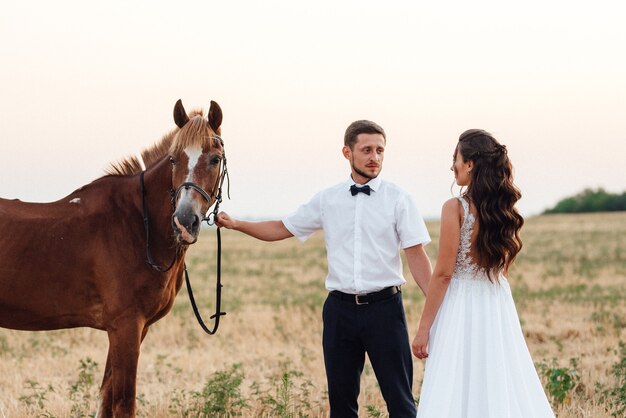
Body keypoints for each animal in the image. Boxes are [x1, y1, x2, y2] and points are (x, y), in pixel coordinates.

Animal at [0, 99, 224, 416]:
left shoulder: (132, 329)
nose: (184, 221)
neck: (138, 224)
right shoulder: (126, 327)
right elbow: (123, 403)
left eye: (215, 159)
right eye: (173, 160)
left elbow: (106, 400)